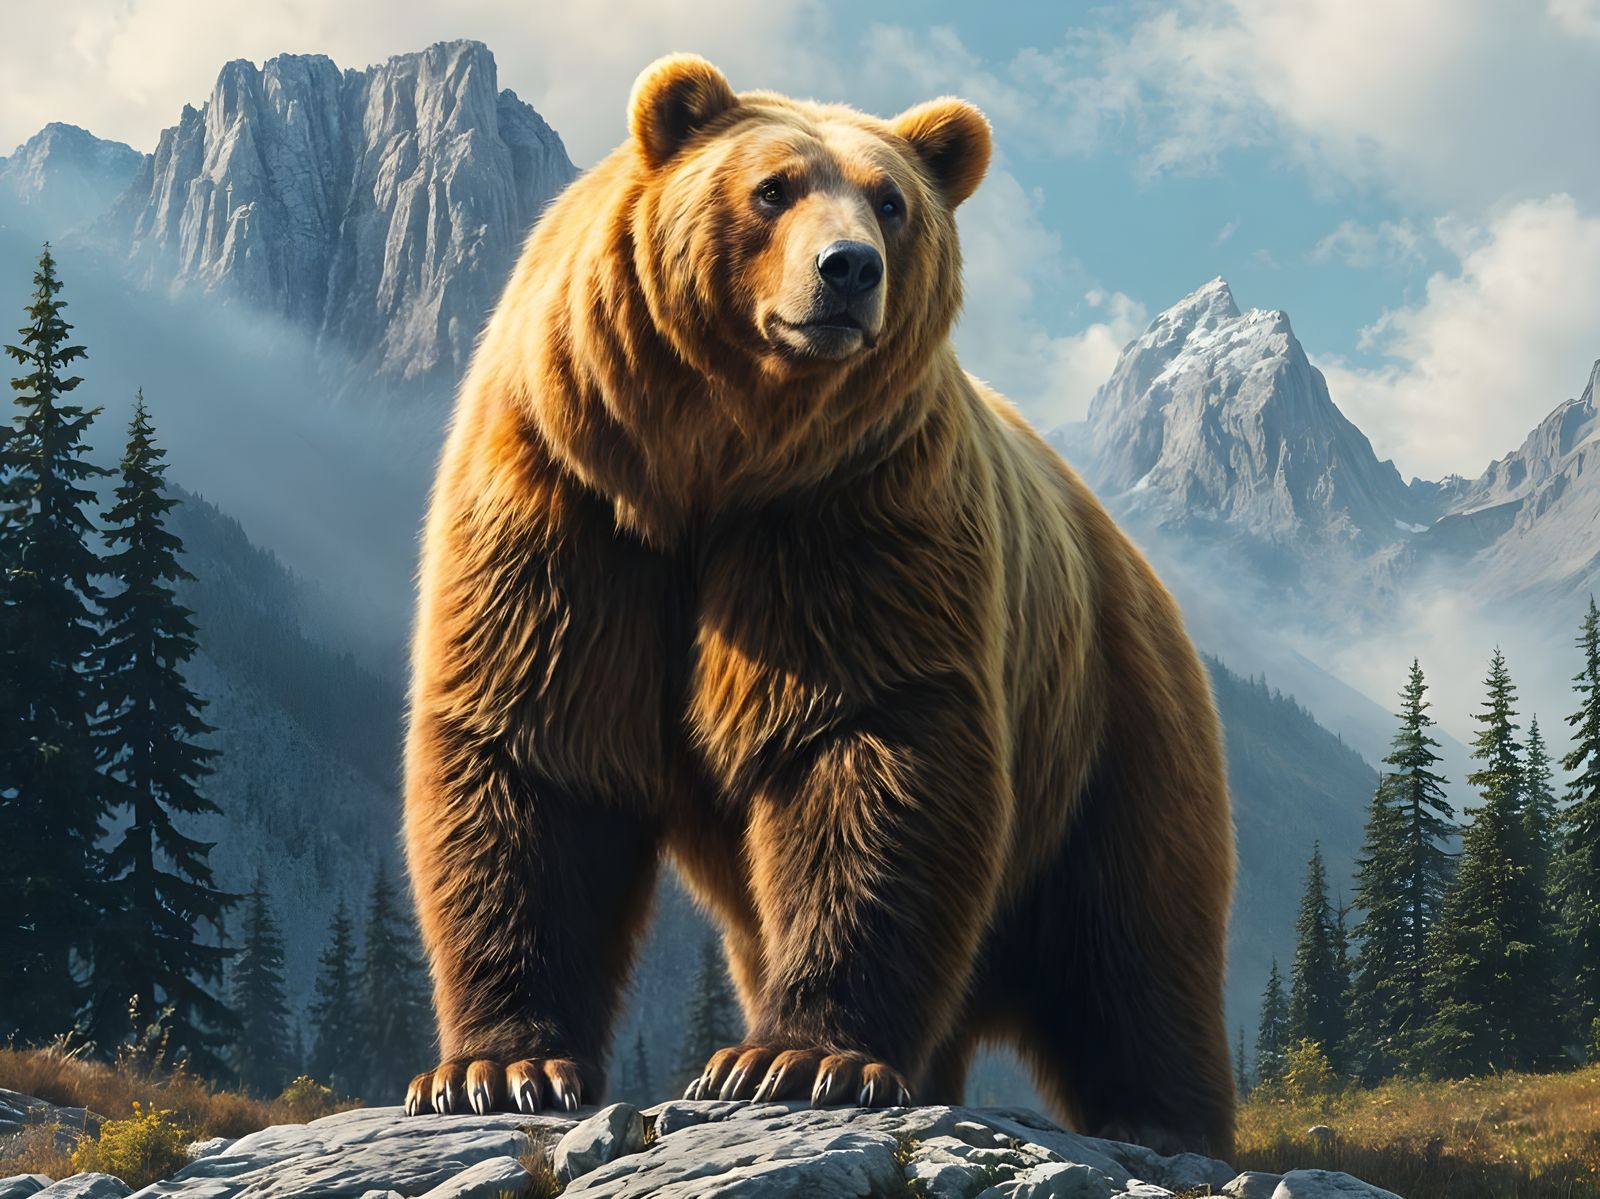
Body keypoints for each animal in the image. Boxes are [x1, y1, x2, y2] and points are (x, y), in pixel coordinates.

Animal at [400, 53, 1236, 1155]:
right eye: (772, 187)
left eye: (890, 201)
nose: (848, 269)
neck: (711, 455)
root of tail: (1143, 566)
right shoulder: (570, 500)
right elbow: (532, 750)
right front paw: (498, 1068)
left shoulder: (849, 513)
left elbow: (865, 747)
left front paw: (794, 1058)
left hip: (1113, 723)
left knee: (1135, 941)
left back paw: (1161, 1118)